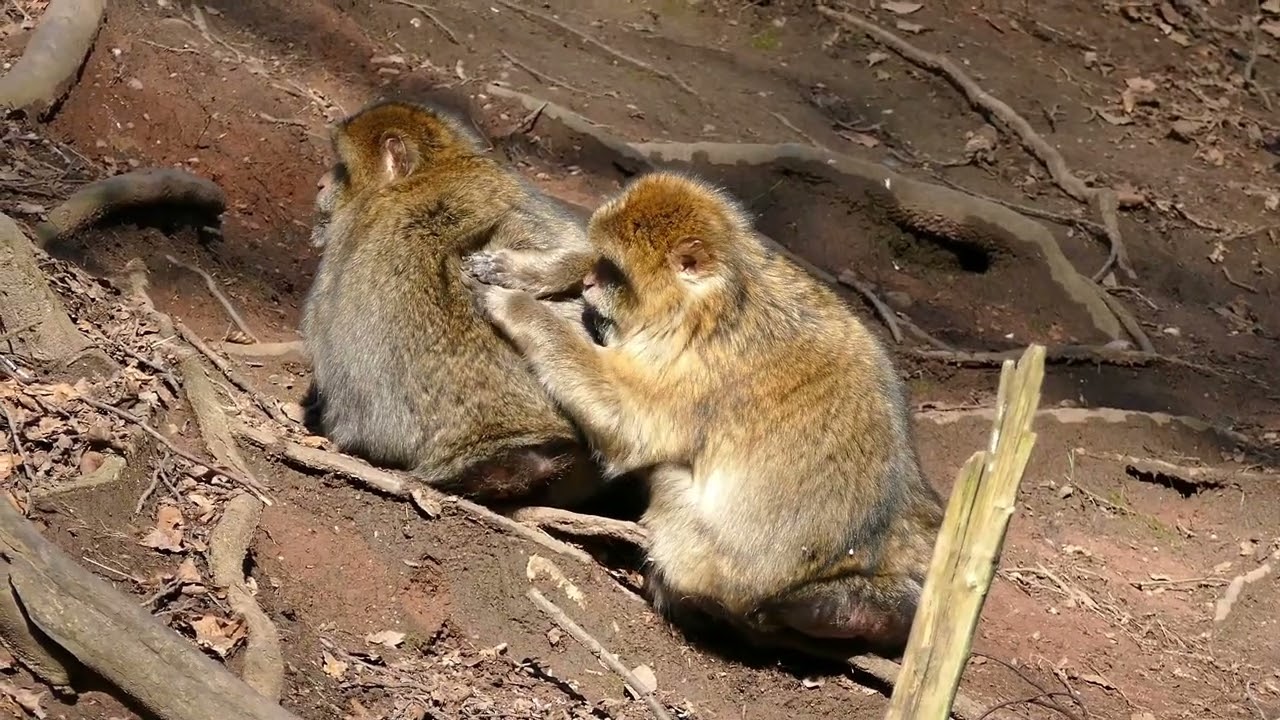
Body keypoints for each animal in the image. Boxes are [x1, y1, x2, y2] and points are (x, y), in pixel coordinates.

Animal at [468, 170, 945, 657]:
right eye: (603, 263)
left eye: (615, 274)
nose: (588, 285)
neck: (717, 307)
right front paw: (538, 271)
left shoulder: (697, 370)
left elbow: (631, 427)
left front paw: (518, 307)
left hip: (705, 555)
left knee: (666, 475)